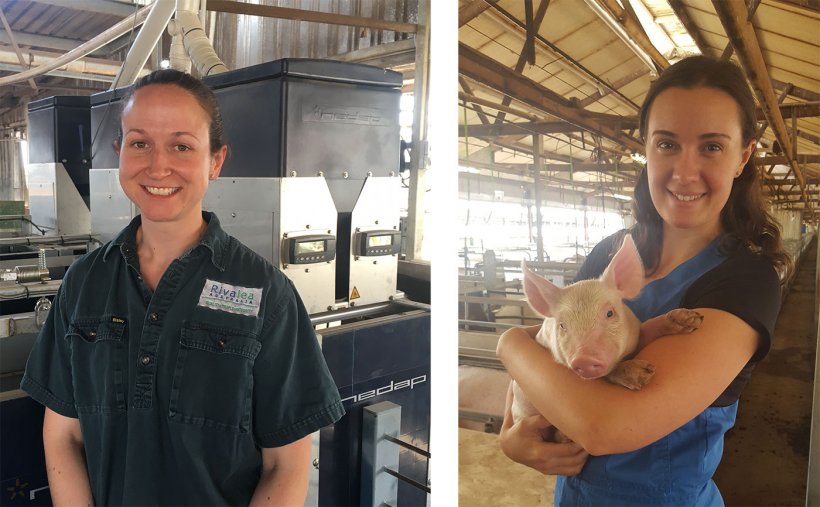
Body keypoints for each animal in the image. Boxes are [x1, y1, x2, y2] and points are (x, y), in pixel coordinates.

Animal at [510, 234, 700, 440]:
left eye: (610, 313)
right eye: (562, 325)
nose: (584, 359)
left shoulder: (636, 334)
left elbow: (649, 328)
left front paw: (692, 319)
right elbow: (608, 373)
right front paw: (643, 374)